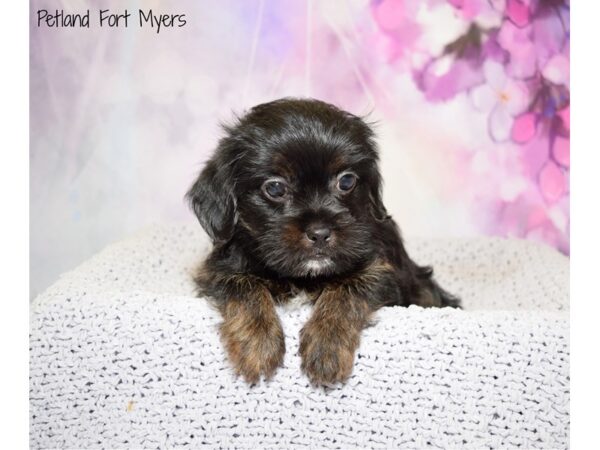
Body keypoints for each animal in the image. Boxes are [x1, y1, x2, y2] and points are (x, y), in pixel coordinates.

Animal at [188, 98, 460, 386]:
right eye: (274, 188)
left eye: (347, 181)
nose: (319, 232)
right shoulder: (218, 270)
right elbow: (244, 286)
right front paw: (258, 342)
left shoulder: (383, 269)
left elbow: (348, 288)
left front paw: (327, 344)